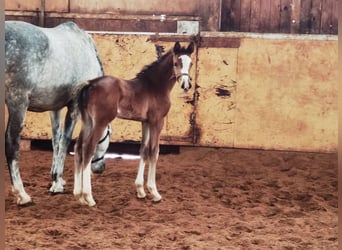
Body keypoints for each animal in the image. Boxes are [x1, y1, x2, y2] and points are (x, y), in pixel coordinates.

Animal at [5, 21, 110, 205]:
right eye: (107, 135)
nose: (100, 168)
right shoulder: (74, 106)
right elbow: (65, 139)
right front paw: (57, 183)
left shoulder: (55, 108)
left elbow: (56, 139)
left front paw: (56, 179)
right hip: (18, 102)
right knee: (11, 143)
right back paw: (22, 194)